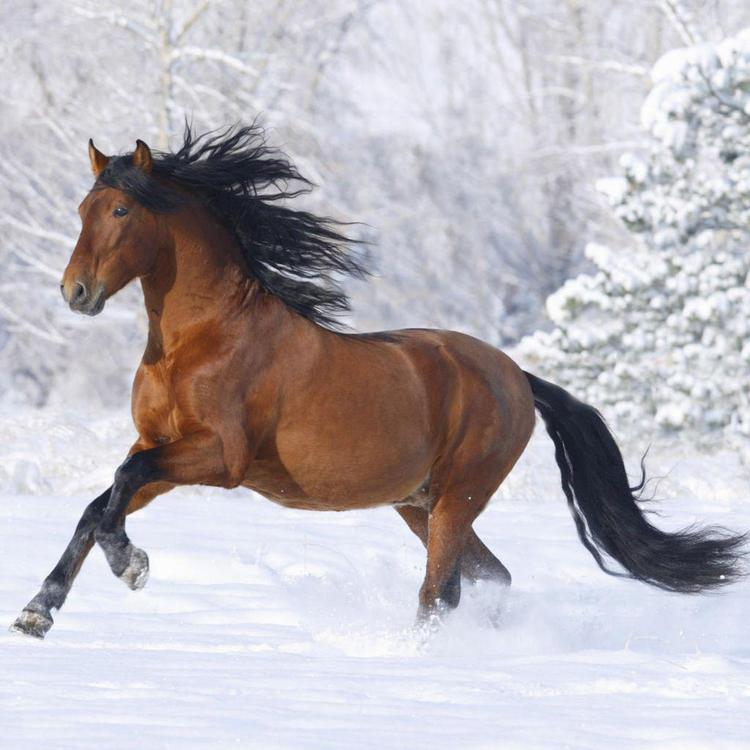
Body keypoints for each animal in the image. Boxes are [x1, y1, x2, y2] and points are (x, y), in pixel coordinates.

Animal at [11, 124, 745, 640]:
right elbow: (99, 504)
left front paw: (131, 566)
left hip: (457, 497)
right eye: (82, 207)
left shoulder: (219, 458)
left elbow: (118, 488)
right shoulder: (159, 448)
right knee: (489, 577)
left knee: (440, 590)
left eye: (121, 213)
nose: (75, 292)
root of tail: (515, 375)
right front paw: (37, 612)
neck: (202, 339)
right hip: (418, 503)